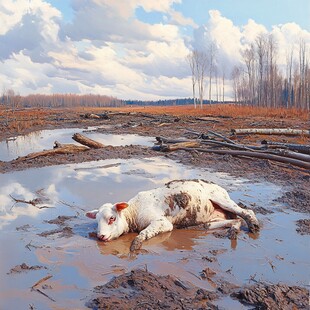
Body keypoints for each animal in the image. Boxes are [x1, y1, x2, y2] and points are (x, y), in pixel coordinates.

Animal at [86, 179, 260, 252]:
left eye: (112, 218)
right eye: (96, 221)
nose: (100, 236)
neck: (134, 211)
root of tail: (218, 186)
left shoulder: (162, 223)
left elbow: (143, 233)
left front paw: (136, 244)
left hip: (221, 199)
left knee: (246, 212)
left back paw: (254, 225)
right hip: (209, 221)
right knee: (235, 220)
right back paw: (233, 231)